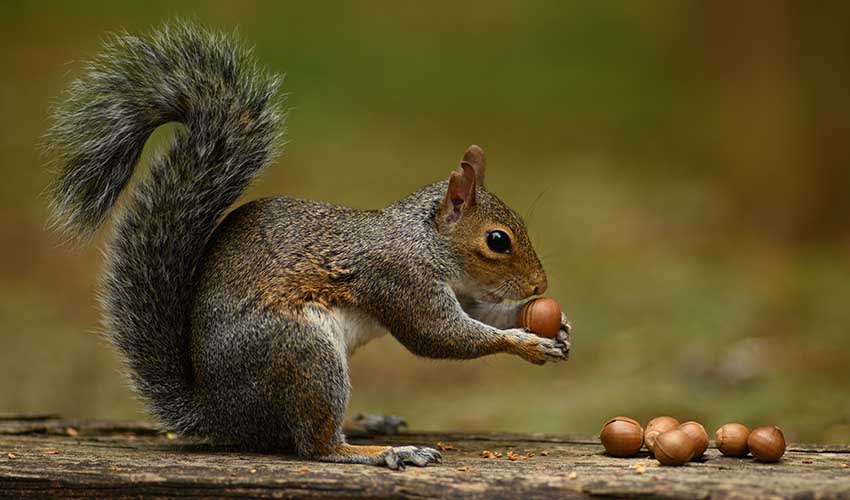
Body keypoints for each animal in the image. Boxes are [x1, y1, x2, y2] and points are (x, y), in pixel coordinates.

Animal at [45, 22, 571, 469]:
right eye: (497, 240)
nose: (540, 284)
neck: (425, 242)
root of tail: (219, 414)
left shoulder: (460, 292)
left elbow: (482, 315)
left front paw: (555, 328)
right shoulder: (399, 278)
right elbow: (440, 336)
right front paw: (525, 342)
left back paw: (369, 424)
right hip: (304, 352)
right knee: (315, 445)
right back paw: (382, 451)